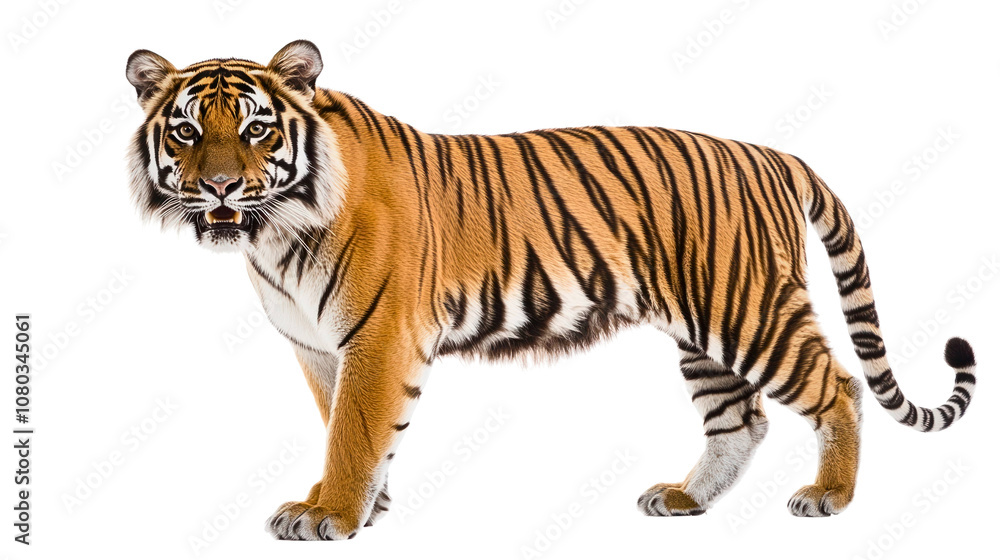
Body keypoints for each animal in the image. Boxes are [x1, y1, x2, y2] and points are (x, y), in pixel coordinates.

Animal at [125, 40, 977, 540]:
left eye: (258, 129)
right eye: (187, 131)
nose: (221, 186)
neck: (276, 230)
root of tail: (772, 153)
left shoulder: (377, 336)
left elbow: (355, 430)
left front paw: (330, 512)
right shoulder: (317, 345)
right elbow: (346, 424)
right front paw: (365, 507)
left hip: (750, 310)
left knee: (838, 386)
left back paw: (829, 497)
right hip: (703, 330)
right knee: (742, 421)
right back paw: (686, 500)